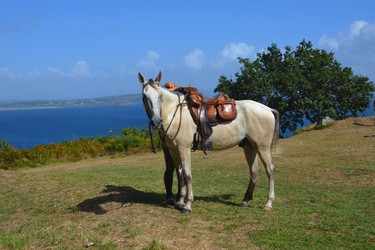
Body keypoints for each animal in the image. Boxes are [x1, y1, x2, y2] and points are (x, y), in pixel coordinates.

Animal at [140, 71, 280, 215]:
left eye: (160, 96)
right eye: (144, 96)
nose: (156, 122)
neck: (176, 113)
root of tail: (268, 109)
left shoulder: (184, 149)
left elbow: (187, 175)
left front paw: (187, 205)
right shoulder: (174, 151)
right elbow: (179, 175)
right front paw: (180, 201)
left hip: (262, 147)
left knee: (270, 170)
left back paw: (268, 203)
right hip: (249, 146)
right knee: (254, 171)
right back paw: (245, 200)